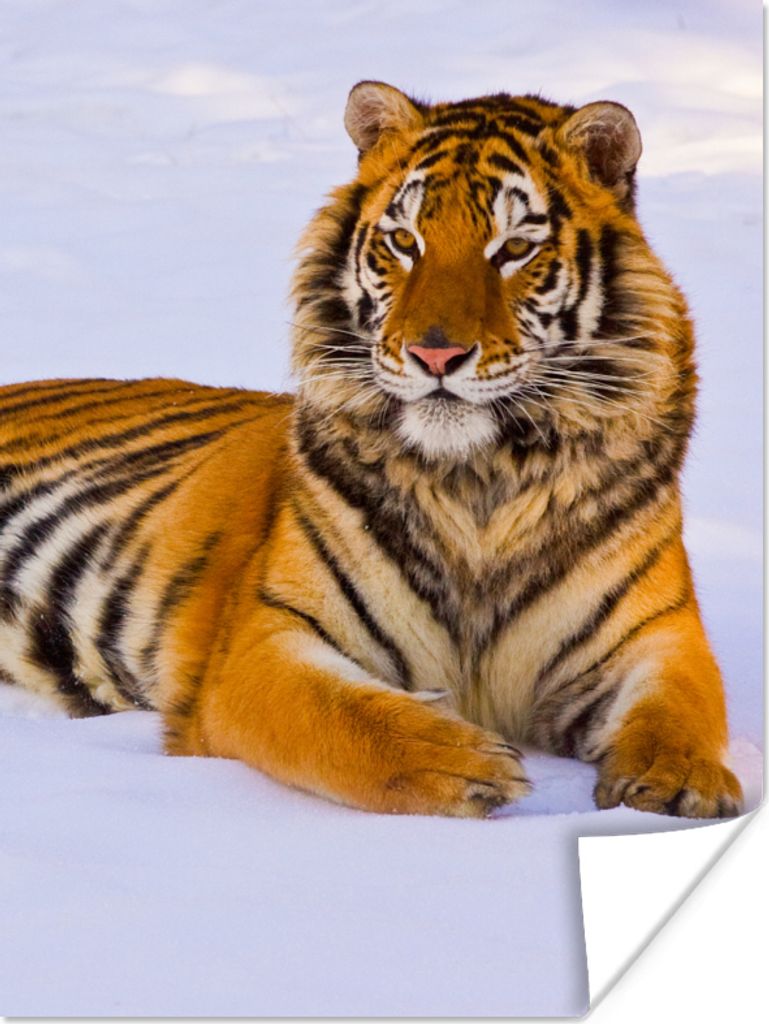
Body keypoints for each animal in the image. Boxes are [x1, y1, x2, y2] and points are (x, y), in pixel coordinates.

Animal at [0, 81, 743, 819]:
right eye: (404, 241)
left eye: (512, 249)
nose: (435, 354)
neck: (480, 479)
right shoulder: (265, 637)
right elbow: (338, 715)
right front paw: (463, 761)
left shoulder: (656, 635)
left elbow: (681, 709)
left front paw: (681, 782)